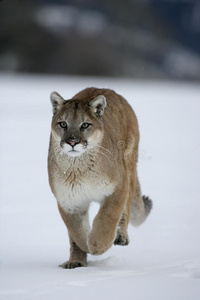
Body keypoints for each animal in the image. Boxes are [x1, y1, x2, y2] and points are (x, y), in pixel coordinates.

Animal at [48, 88, 152, 268]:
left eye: (85, 124)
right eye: (63, 124)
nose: (73, 142)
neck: (79, 169)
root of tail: (109, 90)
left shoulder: (118, 187)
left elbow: (106, 218)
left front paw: (97, 245)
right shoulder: (68, 200)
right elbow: (75, 230)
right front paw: (81, 251)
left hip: (129, 166)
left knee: (127, 206)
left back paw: (121, 236)